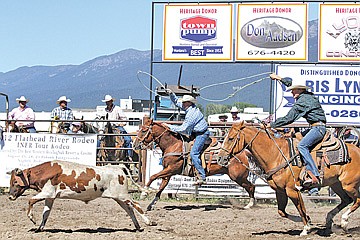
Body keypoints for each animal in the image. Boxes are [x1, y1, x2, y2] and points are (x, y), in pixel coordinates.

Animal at [217, 121, 360, 235]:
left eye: (230, 138)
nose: (220, 158)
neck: (276, 154)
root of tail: (357, 149)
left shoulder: (292, 190)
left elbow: (301, 209)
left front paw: (306, 228)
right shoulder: (280, 191)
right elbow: (282, 212)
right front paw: (308, 221)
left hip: (348, 184)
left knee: (357, 200)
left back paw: (344, 221)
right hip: (336, 184)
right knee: (346, 200)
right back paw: (329, 220)